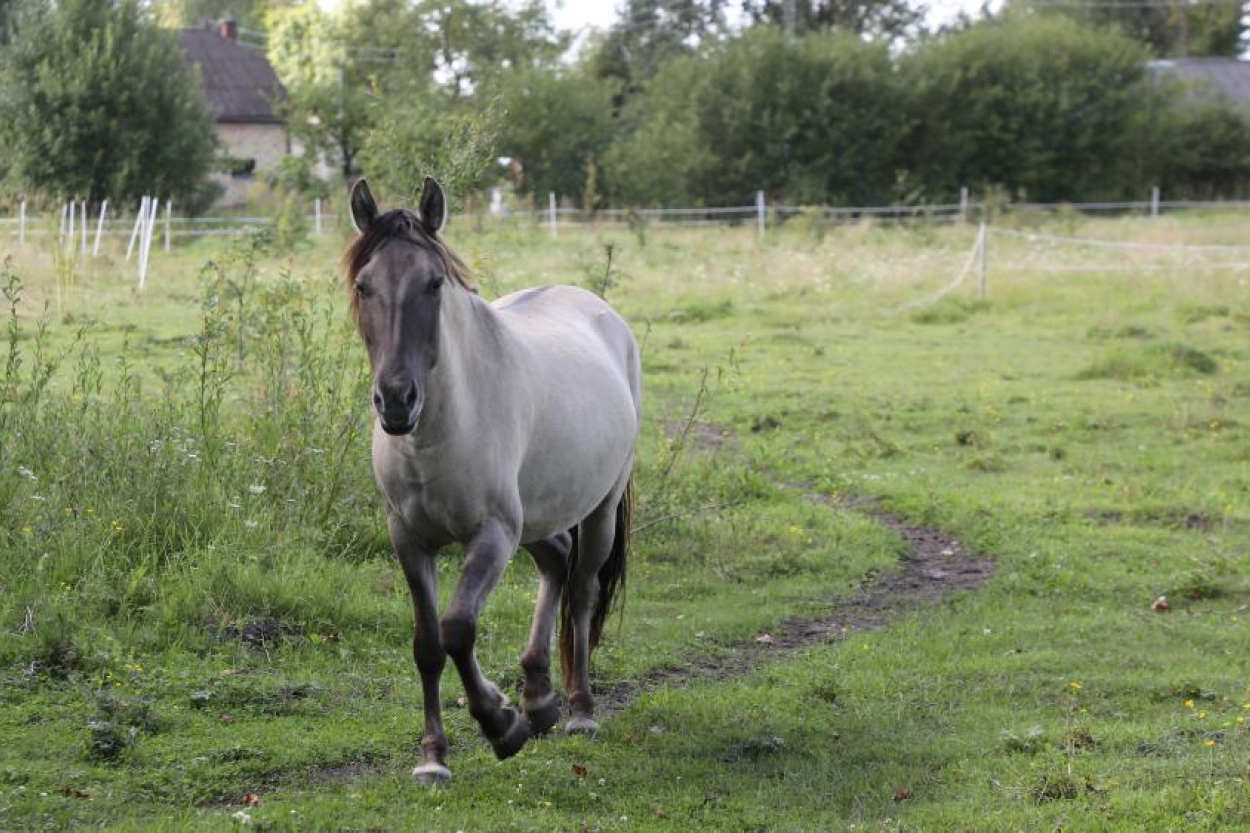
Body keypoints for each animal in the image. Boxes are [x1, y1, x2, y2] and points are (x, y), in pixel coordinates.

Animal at [340, 178, 640, 780]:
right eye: (364, 285)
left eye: (433, 283)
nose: (397, 400)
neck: (435, 432)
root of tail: (603, 314)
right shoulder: (409, 539)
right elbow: (427, 643)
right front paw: (433, 757)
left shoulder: (493, 535)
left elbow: (457, 627)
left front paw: (501, 724)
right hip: (537, 519)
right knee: (555, 560)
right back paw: (539, 698)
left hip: (598, 508)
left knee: (581, 592)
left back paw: (578, 711)